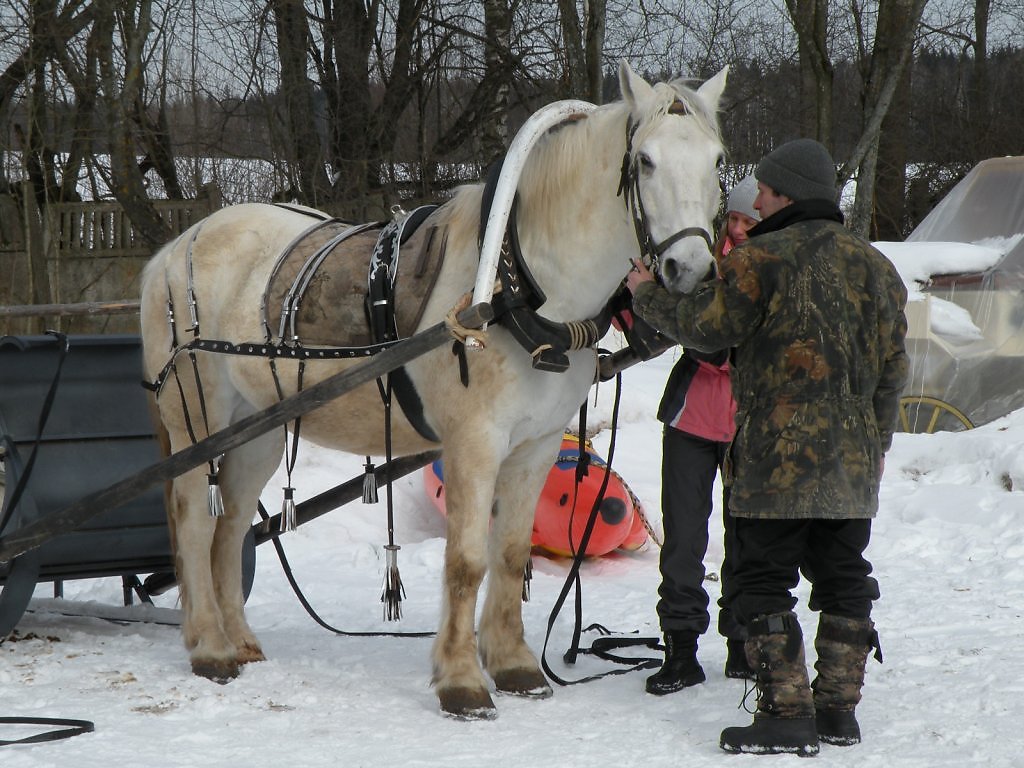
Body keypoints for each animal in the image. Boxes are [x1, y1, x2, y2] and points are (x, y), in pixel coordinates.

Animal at [138, 61, 729, 720]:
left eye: (717, 160)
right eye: (645, 161)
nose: (691, 271)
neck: (519, 290)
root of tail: (173, 250)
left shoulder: (537, 445)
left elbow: (511, 554)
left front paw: (514, 665)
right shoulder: (474, 442)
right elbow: (467, 561)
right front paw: (462, 680)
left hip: (257, 427)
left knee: (233, 526)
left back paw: (239, 640)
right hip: (198, 422)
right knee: (195, 521)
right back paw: (210, 648)